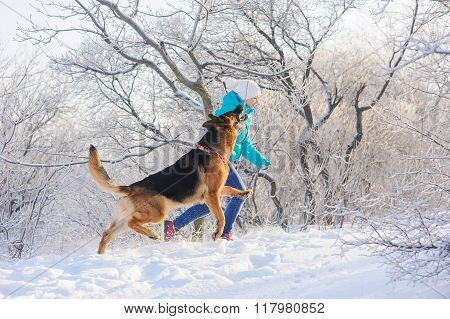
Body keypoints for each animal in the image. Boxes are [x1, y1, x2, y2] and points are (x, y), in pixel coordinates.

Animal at [88, 107, 253, 255]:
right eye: (231, 113)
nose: (241, 105)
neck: (214, 150)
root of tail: (131, 187)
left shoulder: (217, 191)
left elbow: (230, 189)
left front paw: (243, 193)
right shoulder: (212, 194)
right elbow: (222, 217)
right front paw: (217, 233)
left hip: (124, 220)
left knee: (107, 234)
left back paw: (100, 256)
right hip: (157, 214)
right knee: (131, 222)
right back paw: (152, 234)